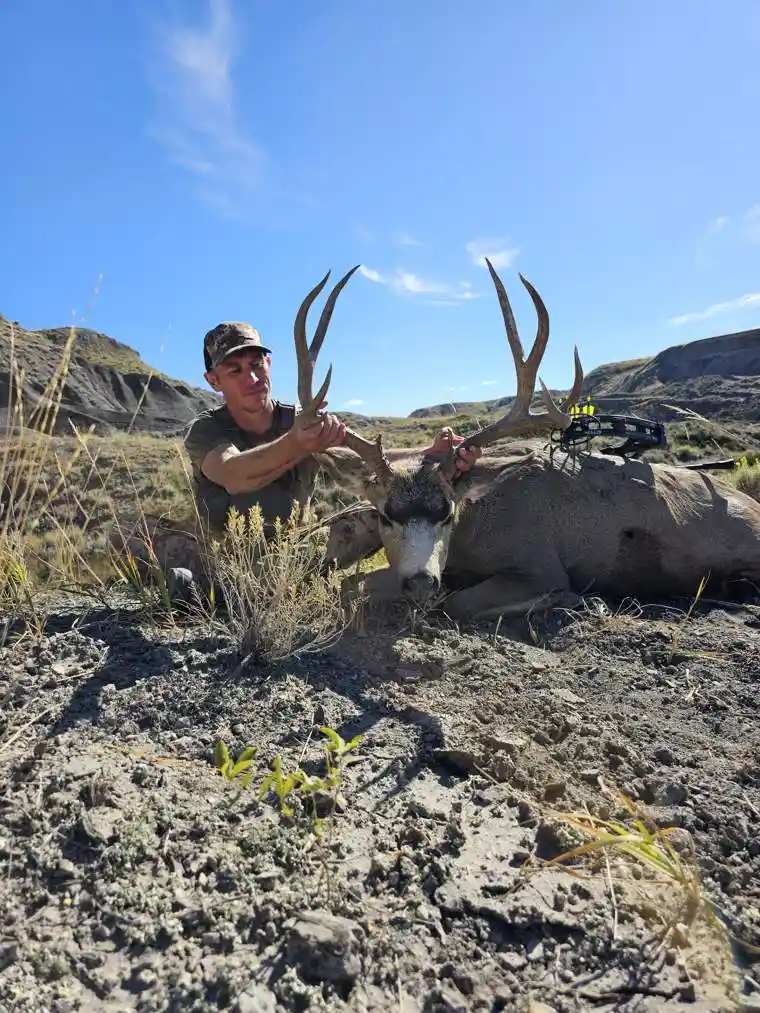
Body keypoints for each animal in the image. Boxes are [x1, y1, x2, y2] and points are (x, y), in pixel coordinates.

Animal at [290, 262, 760, 622]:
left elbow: (458, 602)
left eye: (447, 513)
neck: (476, 527)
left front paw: (571, 599)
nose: (421, 583)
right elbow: (351, 585)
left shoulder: (539, 563)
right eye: (386, 515)